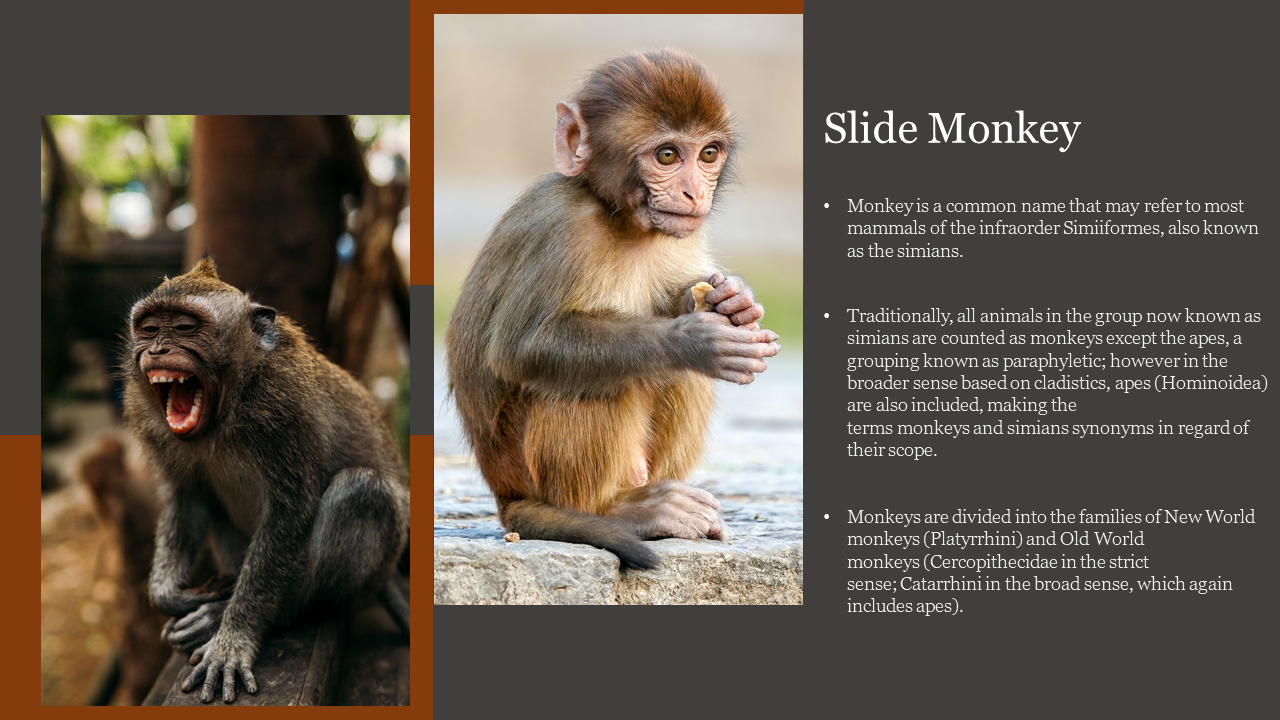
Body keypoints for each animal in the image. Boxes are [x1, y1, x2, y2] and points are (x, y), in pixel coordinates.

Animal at [122, 257, 407, 702]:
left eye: (185, 327)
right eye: (150, 328)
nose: (156, 350)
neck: (229, 405)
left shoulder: (284, 407)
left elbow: (290, 514)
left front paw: (232, 638)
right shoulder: (148, 417)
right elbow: (188, 499)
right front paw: (170, 595)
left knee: (361, 491)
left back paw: (243, 613)